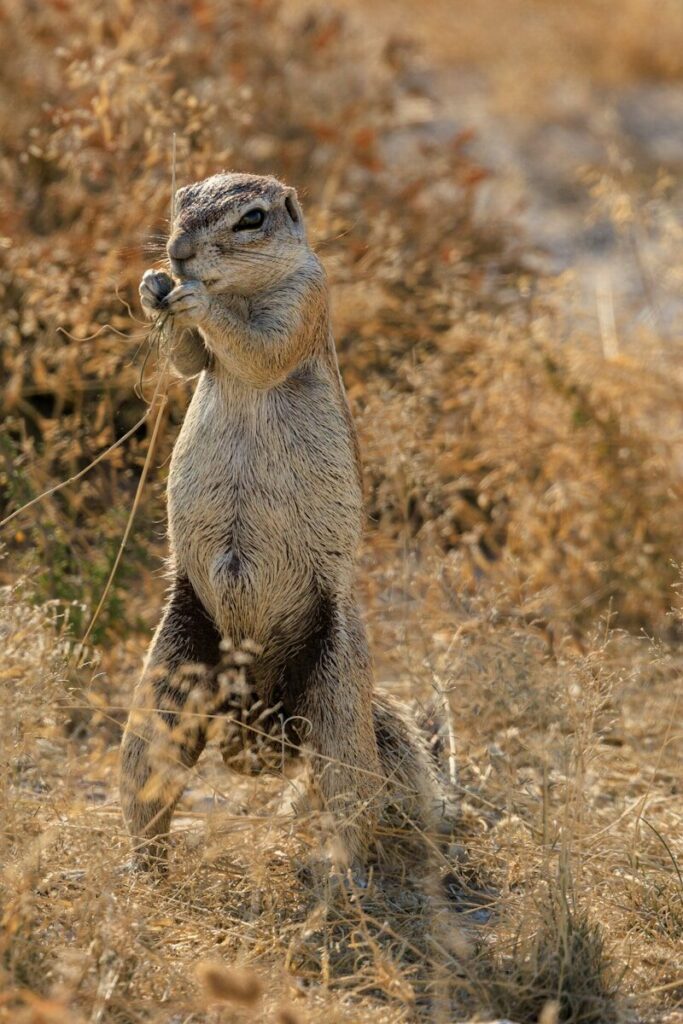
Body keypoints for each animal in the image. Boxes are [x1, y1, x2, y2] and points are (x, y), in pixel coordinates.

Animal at [120, 172, 442, 872]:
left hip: (339, 699)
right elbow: (189, 362)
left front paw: (191, 297)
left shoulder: (306, 302)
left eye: (252, 219)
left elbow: (260, 347)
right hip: (169, 672)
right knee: (152, 775)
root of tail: (258, 716)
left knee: (350, 798)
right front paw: (152, 288)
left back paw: (340, 872)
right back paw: (141, 864)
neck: (239, 288)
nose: (178, 252)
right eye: (180, 198)